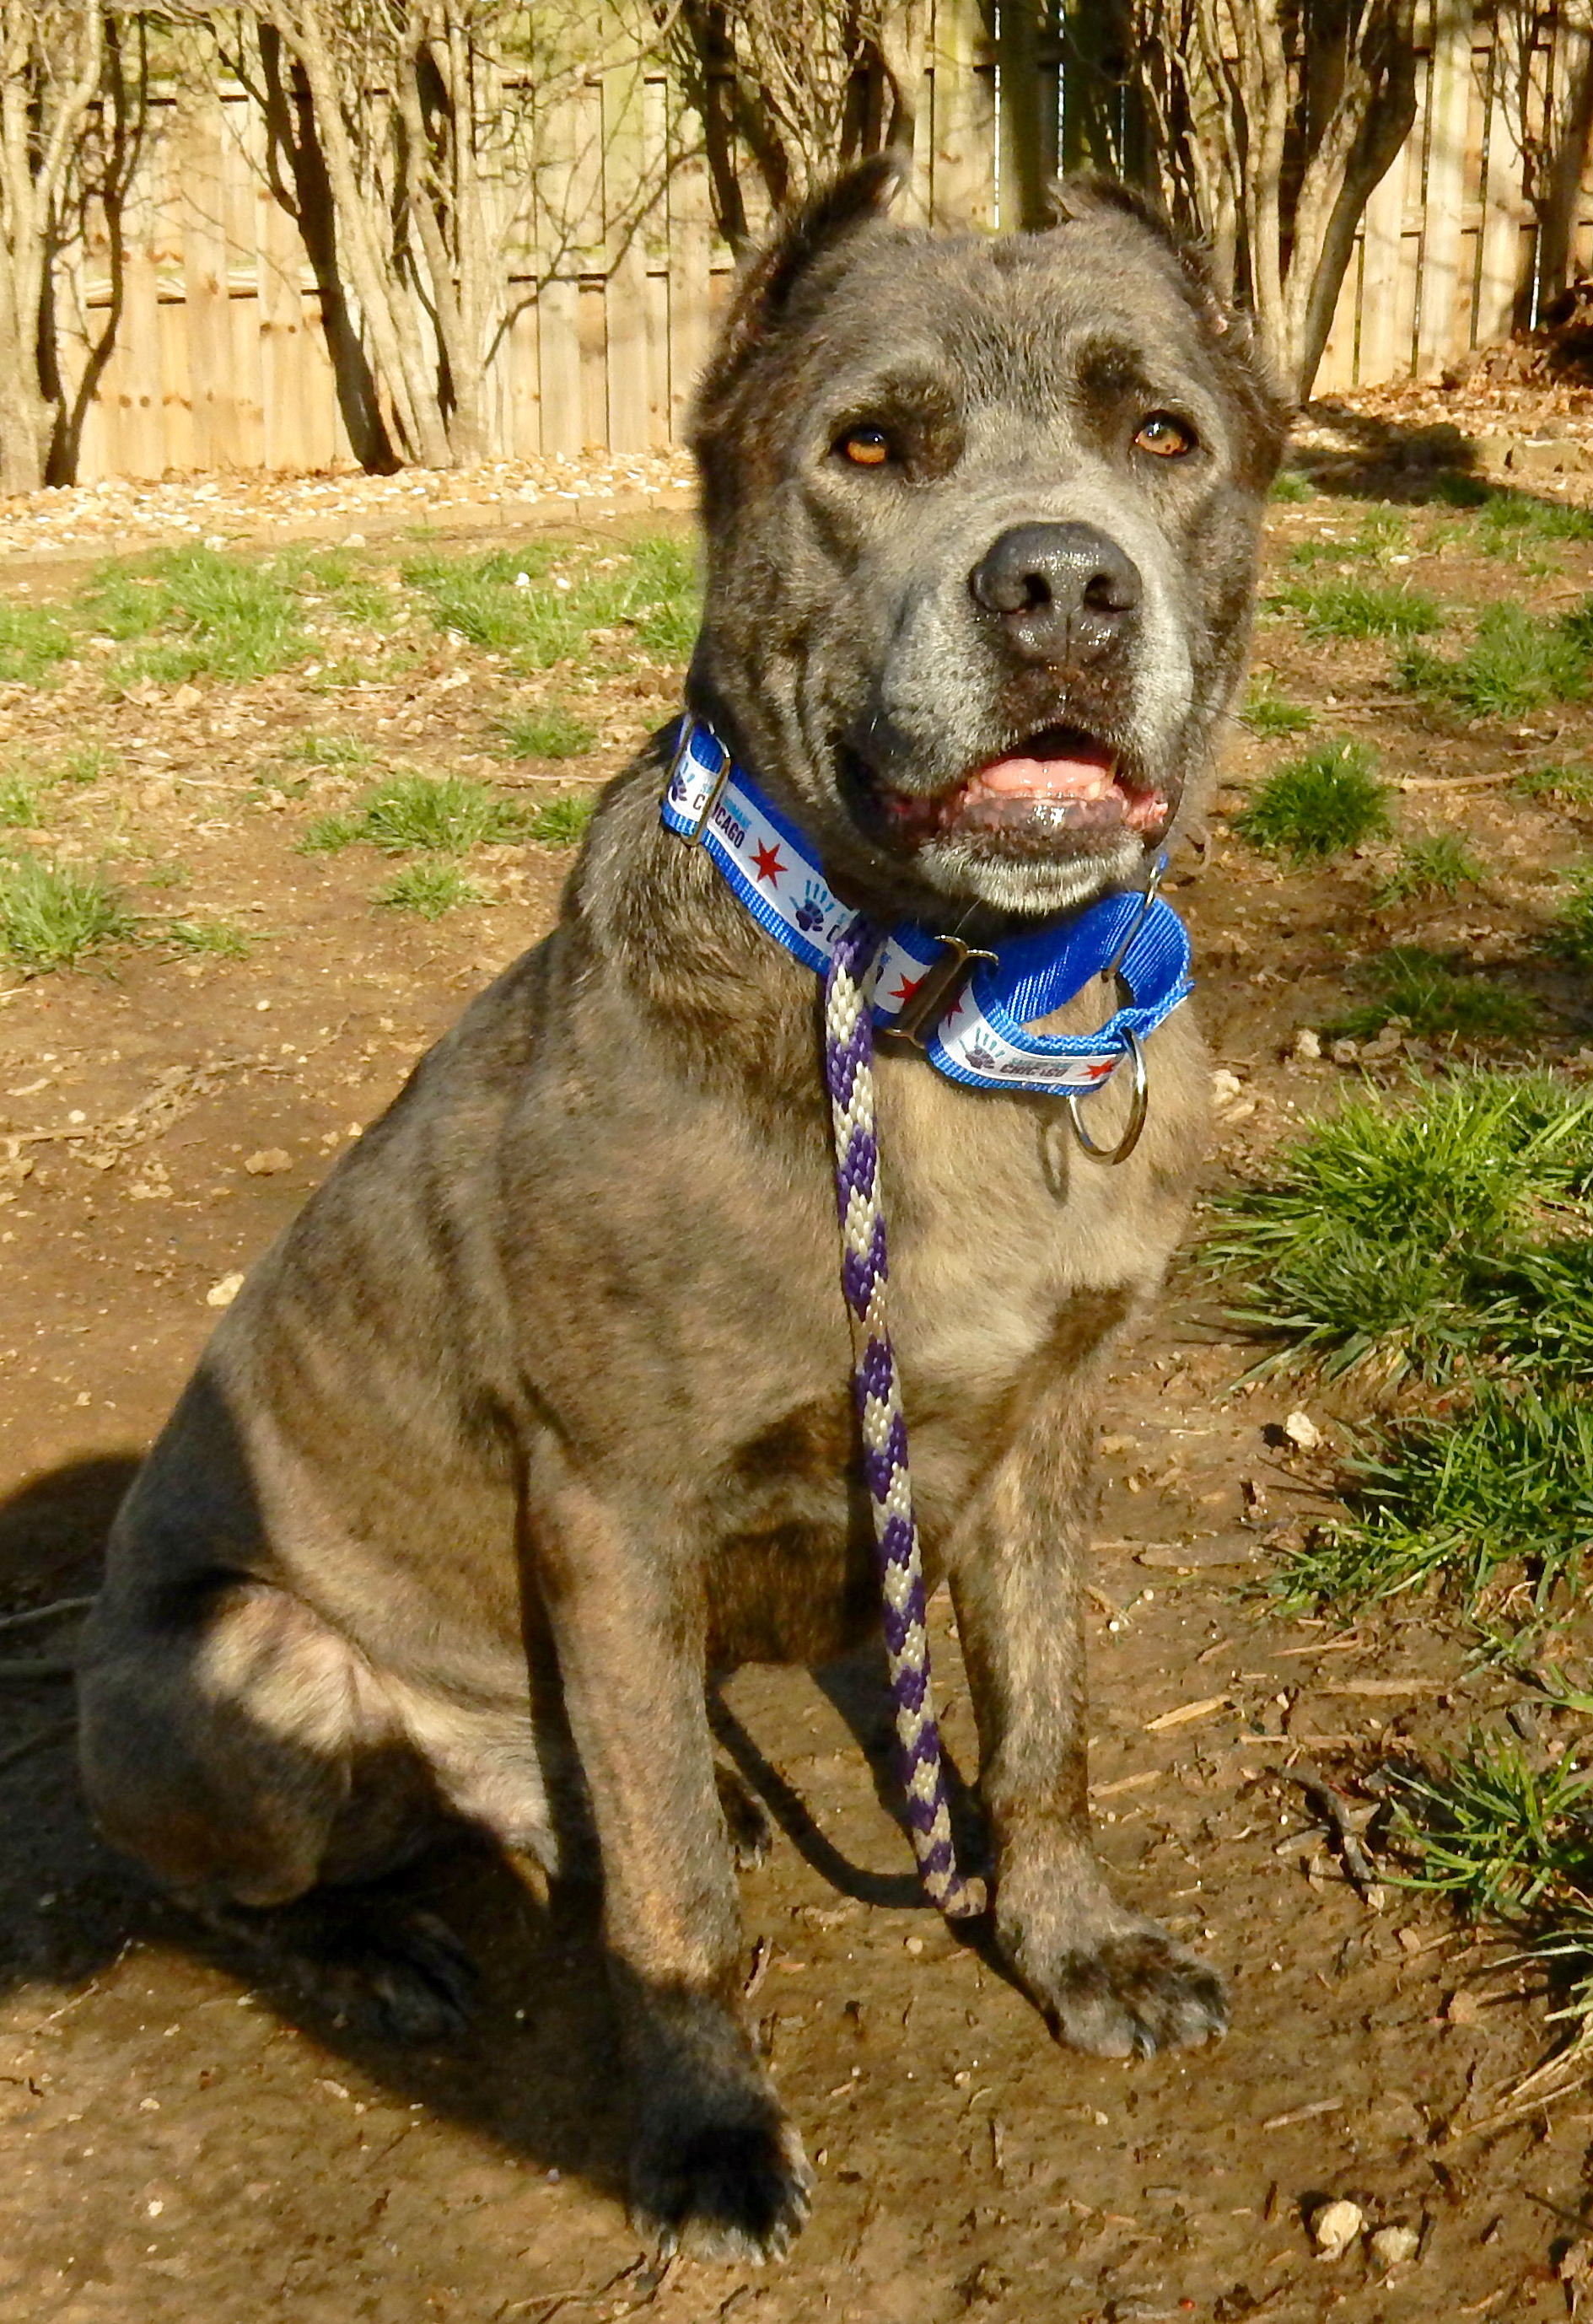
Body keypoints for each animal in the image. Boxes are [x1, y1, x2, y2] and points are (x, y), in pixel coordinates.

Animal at [80, 168, 1284, 2268]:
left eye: (1159, 437)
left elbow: (1038, 1734)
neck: (934, 998)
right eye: (865, 449)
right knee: (227, 1882)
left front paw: (1071, 1949)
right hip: (238, 1666)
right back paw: (371, 1945)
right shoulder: (613, 1506)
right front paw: (709, 2130)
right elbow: (673, 1917)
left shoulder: (1030, 1439)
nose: (1058, 585)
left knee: (568, 1783)